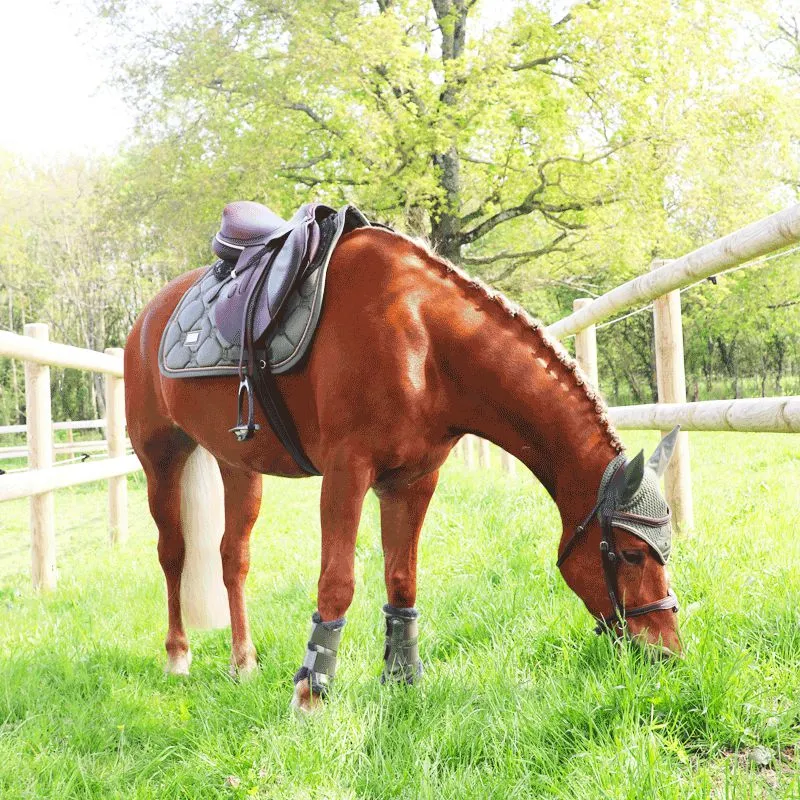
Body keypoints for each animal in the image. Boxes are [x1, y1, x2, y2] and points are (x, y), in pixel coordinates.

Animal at [125, 223, 680, 712]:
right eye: (631, 554)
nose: (667, 651)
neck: (423, 337)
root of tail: (147, 317)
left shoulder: (413, 480)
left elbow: (402, 579)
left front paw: (402, 682)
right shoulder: (347, 472)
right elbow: (338, 582)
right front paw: (310, 696)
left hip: (237, 465)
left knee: (232, 557)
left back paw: (243, 662)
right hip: (160, 460)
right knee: (172, 554)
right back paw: (178, 656)